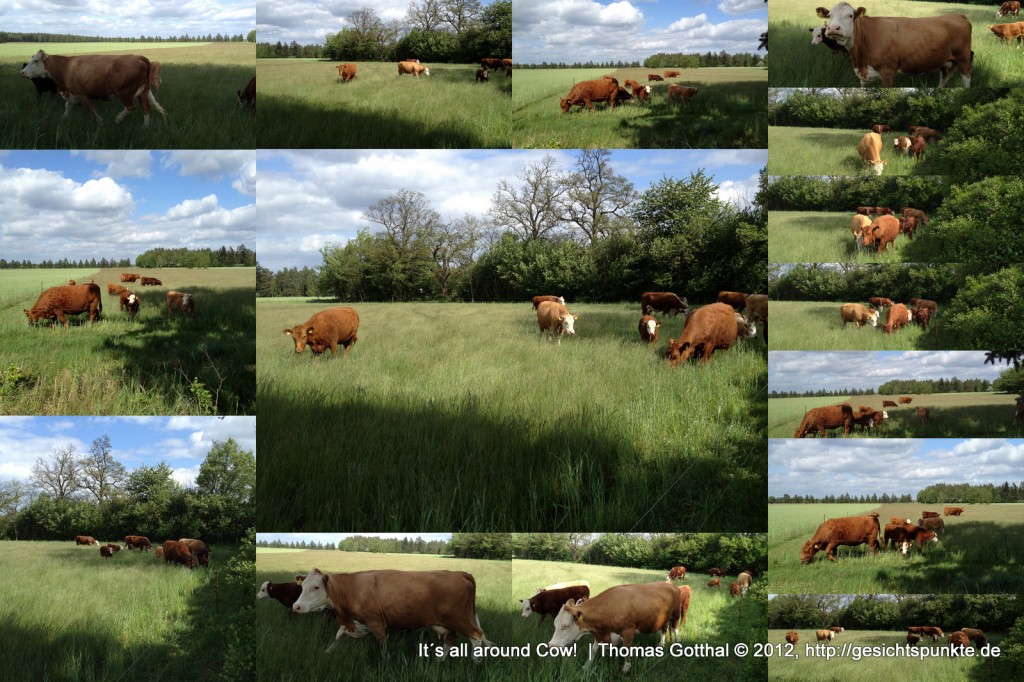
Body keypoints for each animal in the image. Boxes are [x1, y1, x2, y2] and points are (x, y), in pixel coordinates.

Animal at [20, 50, 167, 126]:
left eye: (36, 61)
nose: (22, 72)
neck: (66, 67)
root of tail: (138, 57)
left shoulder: (81, 93)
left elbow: (91, 108)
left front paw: (101, 122)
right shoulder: (71, 93)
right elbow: (68, 107)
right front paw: (63, 119)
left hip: (124, 92)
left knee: (131, 107)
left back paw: (117, 119)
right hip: (143, 92)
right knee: (146, 108)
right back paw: (145, 126)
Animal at [293, 568, 492, 660]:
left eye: (316, 587)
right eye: (302, 586)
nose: (296, 606)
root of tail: (459, 573)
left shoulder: (376, 622)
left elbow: (383, 644)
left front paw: (385, 661)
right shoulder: (355, 621)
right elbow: (338, 635)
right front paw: (327, 651)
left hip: (460, 619)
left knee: (476, 635)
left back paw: (476, 661)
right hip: (447, 623)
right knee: (451, 639)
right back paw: (438, 660)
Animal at [547, 582, 680, 673]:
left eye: (566, 625)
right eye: (555, 624)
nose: (551, 645)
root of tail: (669, 584)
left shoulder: (628, 630)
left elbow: (627, 648)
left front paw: (626, 667)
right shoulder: (600, 632)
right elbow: (593, 650)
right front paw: (586, 666)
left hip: (675, 616)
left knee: (675, 630)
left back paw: (677, 644)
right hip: (664, 619)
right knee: (664, 630)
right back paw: (661, 644)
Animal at [815, 3, 973, 87]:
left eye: (850, 15)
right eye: (829, 15)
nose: (833, 28)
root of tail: (958, 15)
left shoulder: (888, 72)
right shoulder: (862, 75)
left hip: (963, 58)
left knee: (966, 78)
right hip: (946, 62)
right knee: (944, 78)